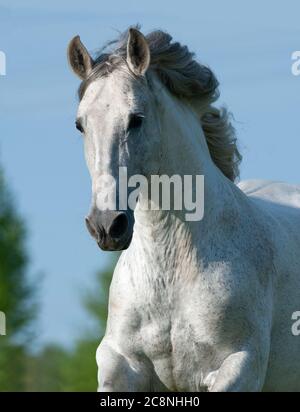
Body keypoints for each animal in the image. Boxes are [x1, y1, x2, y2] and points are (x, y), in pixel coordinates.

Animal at [67, 28, 300, 390]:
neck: (171, 272)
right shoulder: (120, 363)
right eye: (81, 124)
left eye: (136, 119)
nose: (106, 226)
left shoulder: (240, 365)